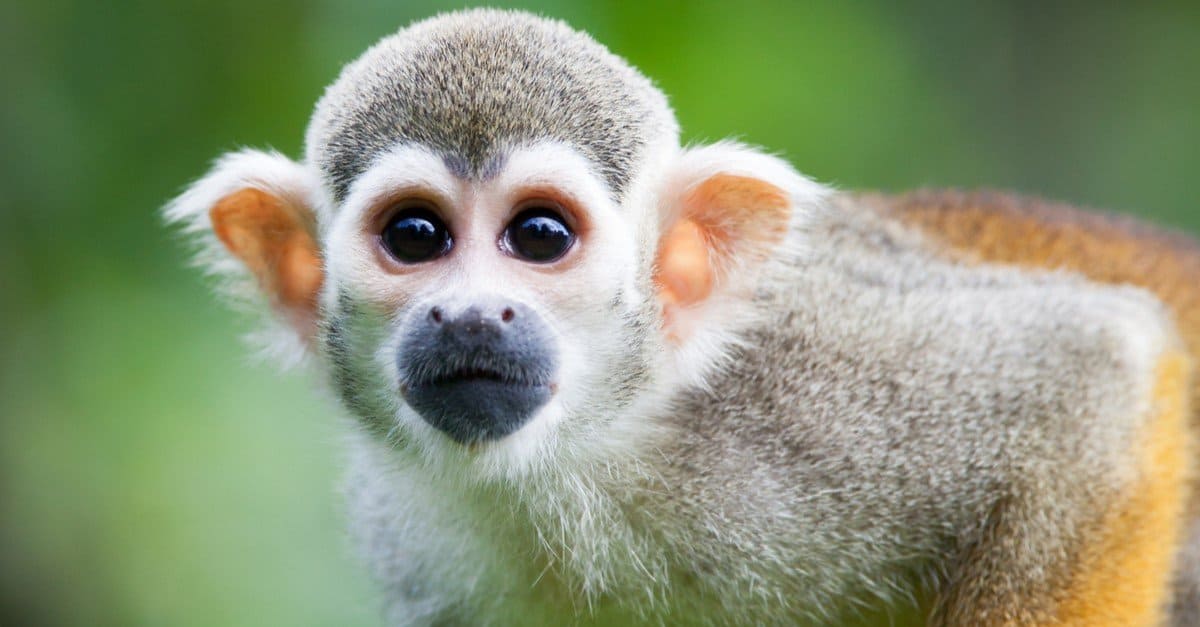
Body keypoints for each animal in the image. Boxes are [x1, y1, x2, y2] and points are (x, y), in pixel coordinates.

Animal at [166, 9, 1200, 624]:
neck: (587, 454)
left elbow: (1095, 365)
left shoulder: (812, 389)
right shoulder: (413, 538)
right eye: (415, 236)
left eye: (539, 235)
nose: (468, 316)